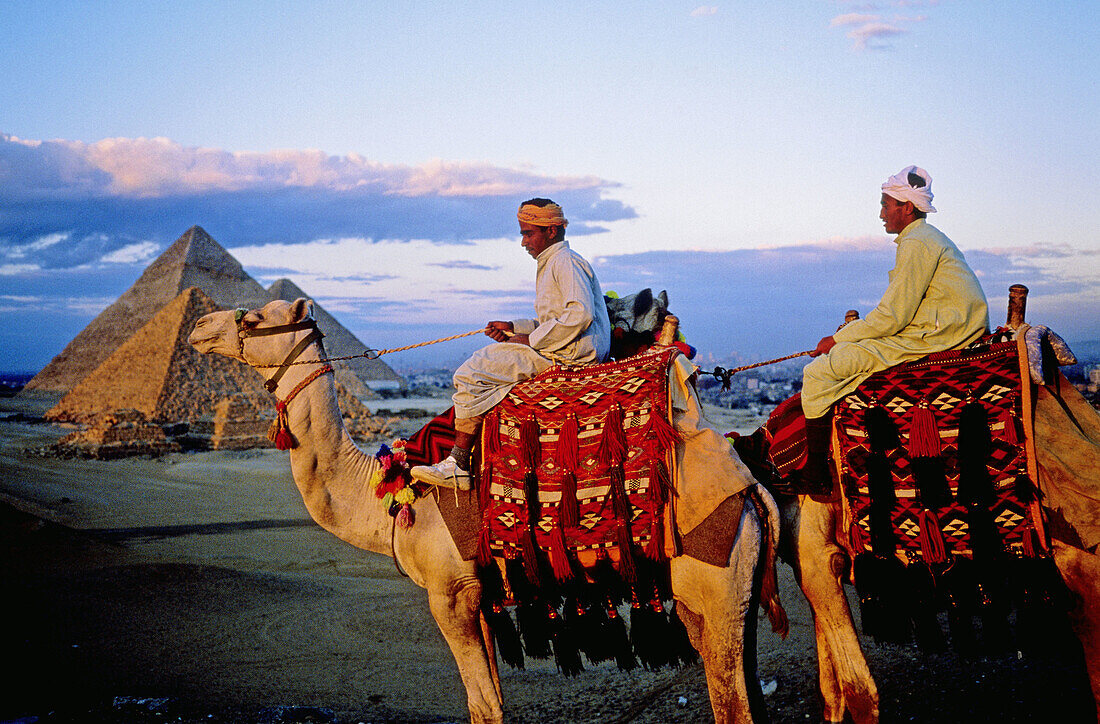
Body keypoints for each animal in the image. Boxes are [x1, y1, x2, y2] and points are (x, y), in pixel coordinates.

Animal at [191, 292, 792, 721]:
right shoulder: (478, 595)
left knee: (732, 701)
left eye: (253, 317)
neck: (390, 494)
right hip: (720, 596)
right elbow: (493, 701)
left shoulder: (449, 591)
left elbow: (482, 704)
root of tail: (749, 489)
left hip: (713, 576)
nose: (198, 327)